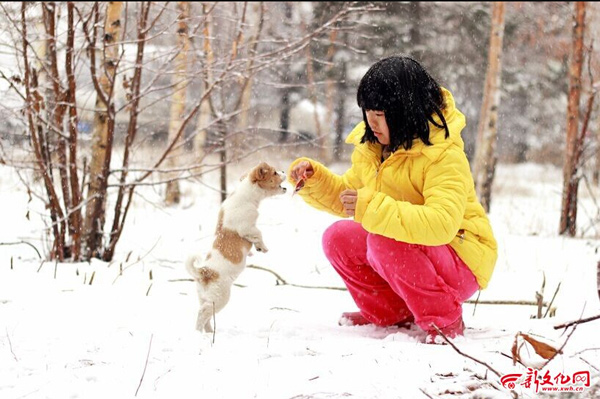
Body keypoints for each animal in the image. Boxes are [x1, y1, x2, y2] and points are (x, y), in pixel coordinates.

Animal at [186, 161, 288, 332]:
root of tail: (204, 272)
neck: (246, 195)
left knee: (207, 316)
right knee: (203, 313)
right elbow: (258, 234)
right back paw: (199, 332)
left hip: (204, 297)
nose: (283, 171)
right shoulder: (247, 227)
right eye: (274, 173)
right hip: (220, 297)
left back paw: (209, 333)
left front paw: (256, 249)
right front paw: (263, 247)